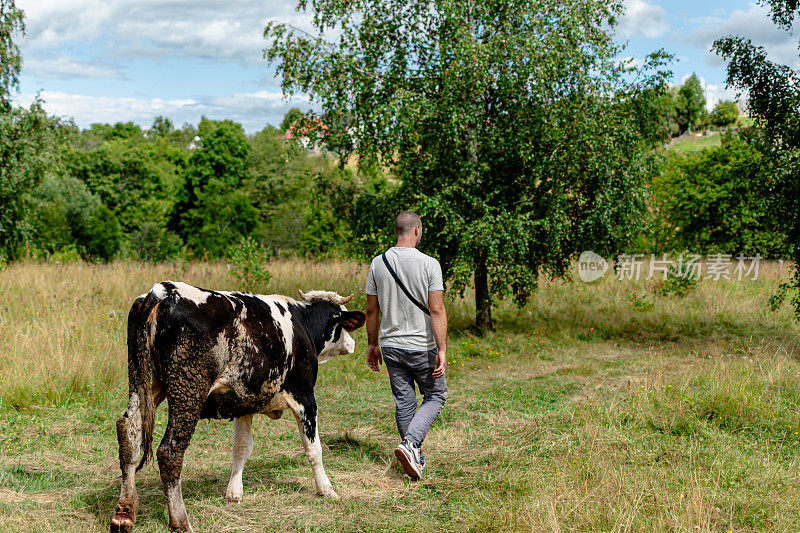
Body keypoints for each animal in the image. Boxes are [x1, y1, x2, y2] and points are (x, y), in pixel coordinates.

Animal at [110, 280, 366, 528]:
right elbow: (313, 449)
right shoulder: (304, 397)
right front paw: (326, 489)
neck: (302, 324)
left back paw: (125, 511)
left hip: (143, 383)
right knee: (170, 450)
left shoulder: (245, 403)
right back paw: (181, 521)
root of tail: (162, 291)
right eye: (343, 323)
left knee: (129, 433)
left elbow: (241, 447)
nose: (352, 344)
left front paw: (234, 492)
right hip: (188, 392)